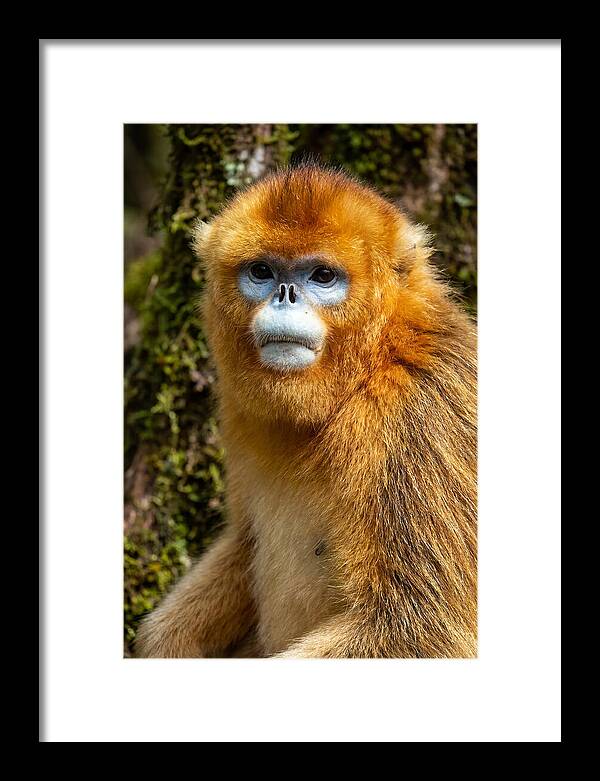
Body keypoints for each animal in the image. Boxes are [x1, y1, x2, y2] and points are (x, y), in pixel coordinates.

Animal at [135, 164, 477, 659]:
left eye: (322, 276)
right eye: (261, 271)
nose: (285, 294)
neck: (369, 369)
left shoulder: (423, 413)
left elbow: (423, 628)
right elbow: (243, 542)